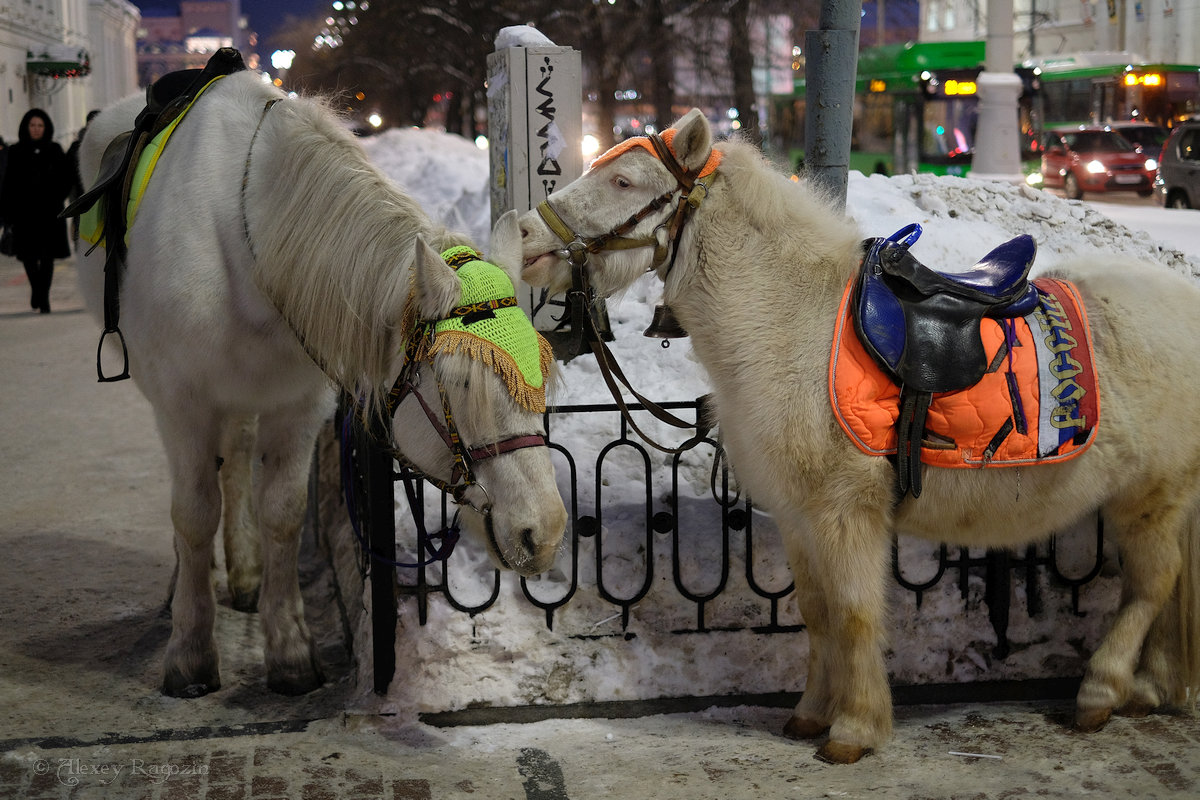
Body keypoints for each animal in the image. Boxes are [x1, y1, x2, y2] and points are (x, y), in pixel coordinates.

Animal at [78, 73, 566, 700]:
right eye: (459, 385)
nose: (544, 533)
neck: (245, 243)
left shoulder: (298, 403)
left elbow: (282, 512)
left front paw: (288, 650)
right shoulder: (182, 402)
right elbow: (192, 513)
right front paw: (189, 653)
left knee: (235, 458)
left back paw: (245, 574)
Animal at [520, 106, 1200, 762]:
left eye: (624, 181)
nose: (524, 234)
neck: (790, 322)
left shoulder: (846, 513)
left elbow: (852, 616)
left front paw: (855, 728)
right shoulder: (799, 518)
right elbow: (818, 616)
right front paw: (809, 714)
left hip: (1151, 497)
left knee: (1152, 584)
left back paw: (1102, 691)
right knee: (1166, 589)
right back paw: (1149, 688)